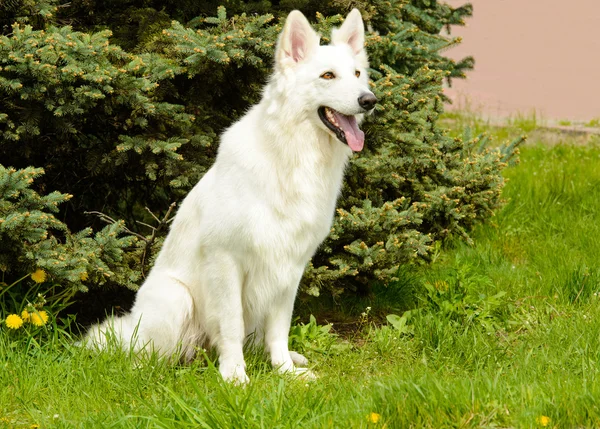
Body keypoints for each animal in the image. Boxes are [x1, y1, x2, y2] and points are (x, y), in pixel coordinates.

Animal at [84, 8, 376, 382]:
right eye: (328, 75)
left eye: (357, 74)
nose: (369, 100)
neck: (291, 155)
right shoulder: (226, 262)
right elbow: (231, 325)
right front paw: (235, 376)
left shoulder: (290, 267)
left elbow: (279, 329)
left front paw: (284, 371)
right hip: (176, 299)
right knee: (146, 355)